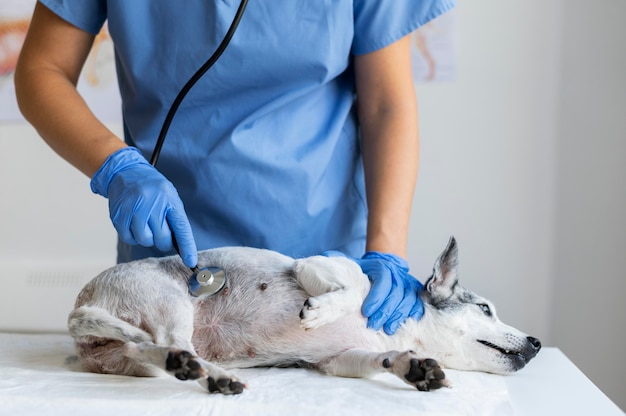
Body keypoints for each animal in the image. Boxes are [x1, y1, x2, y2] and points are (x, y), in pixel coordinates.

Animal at [67, 237, 536, 394]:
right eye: (485, 309)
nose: (536, 342)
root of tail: (80, 308)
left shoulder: (340, 360)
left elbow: (382, 361)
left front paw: (414, 368)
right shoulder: (315, 267)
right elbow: (349, 291)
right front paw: (321, 310)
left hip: (131, 354)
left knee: (150, 351)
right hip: (172, 305)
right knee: (174, 346)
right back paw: (214, 376)